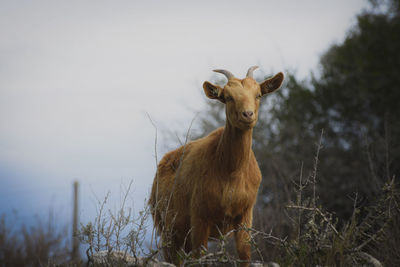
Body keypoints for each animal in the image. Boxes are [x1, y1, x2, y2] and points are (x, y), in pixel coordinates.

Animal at [149, 66, 284, 266]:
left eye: (258, 95)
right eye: (228, 97)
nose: (247, 114)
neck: (231, 172)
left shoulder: (245, 214)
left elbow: (244, 255)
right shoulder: (199, 216)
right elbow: (201, 256)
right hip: (167, 227)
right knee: (173, 257)